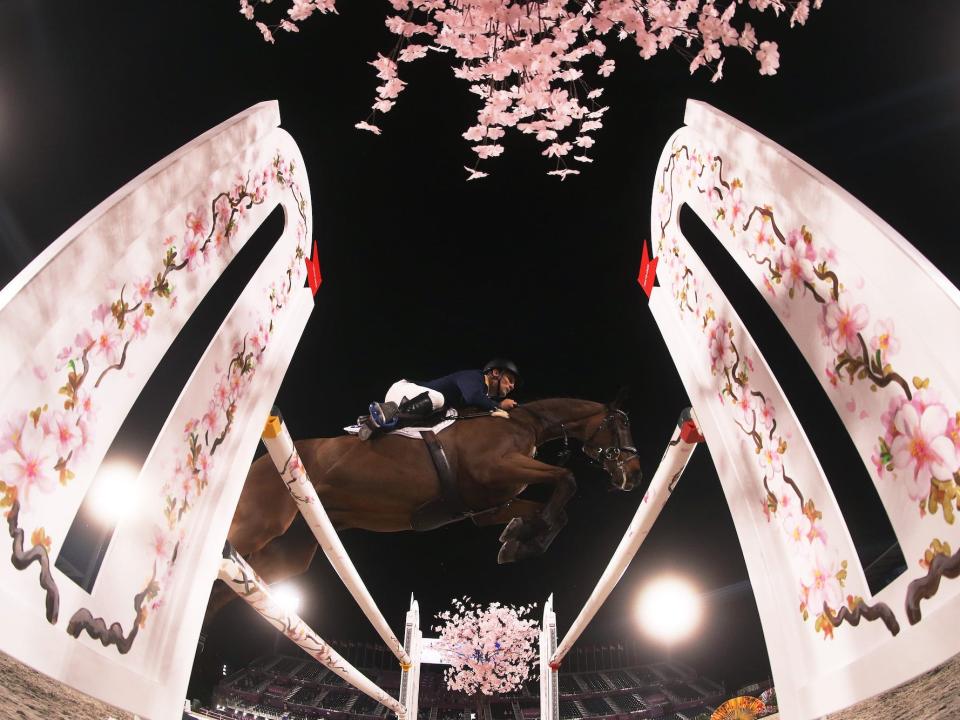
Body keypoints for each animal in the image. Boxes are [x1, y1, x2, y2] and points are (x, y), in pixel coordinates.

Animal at [211, 394, 644, 620]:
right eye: (622, 425)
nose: (636, 476)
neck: (524, 424)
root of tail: (258, 463)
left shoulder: (487, 506)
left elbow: (551, 510)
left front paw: (517, 539)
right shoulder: (498, 465)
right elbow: (566, 481)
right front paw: (524, 539)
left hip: (288, 552)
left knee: (227, 587)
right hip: (260, 520)